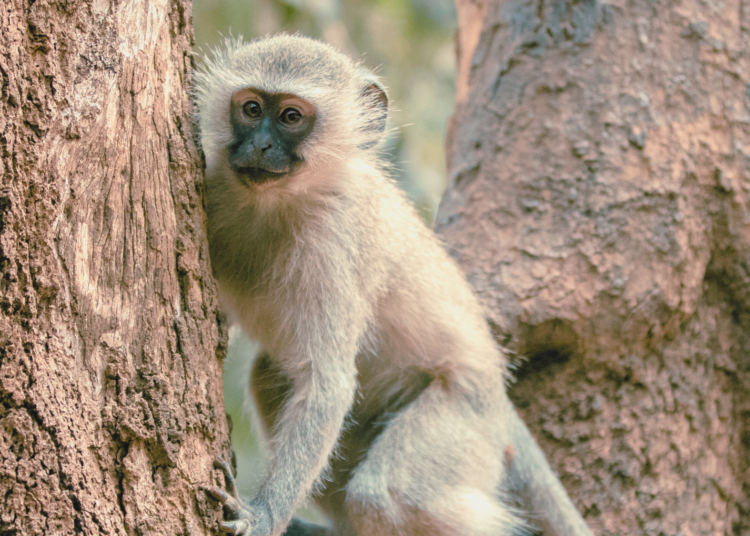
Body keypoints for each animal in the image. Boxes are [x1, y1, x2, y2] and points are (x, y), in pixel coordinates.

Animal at [196, 34, 593, 536]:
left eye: (290, 117)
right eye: (250, 108)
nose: (260, 145)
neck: (272, 204)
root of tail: (497, 395)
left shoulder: (333, 244)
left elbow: (327, 384)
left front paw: (263, 515)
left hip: (465, 413)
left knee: (385, 492)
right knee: (268, 377)